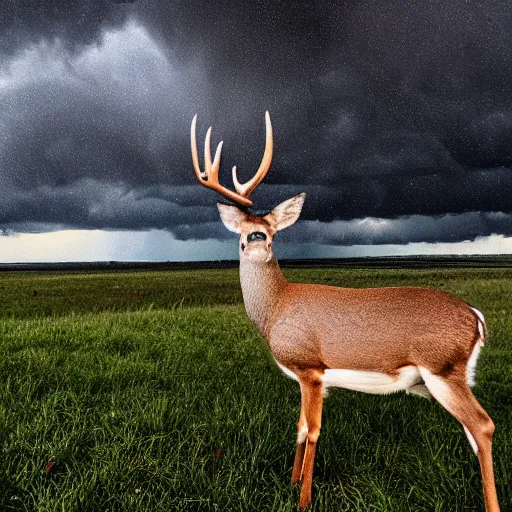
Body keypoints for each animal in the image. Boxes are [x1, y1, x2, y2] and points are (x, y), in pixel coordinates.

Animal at [190, 112, 498, 512]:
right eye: (242, 229)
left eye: (272, 228)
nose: (257, 238)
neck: (278, 306)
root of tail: (475, 316)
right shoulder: (304, 377)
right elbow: (299, 428)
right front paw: (292, 483)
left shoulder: (310, 369)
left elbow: (313, 431)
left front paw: (304, 499)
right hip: (449, 376)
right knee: (475, 432)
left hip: (442, 369)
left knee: (483, 425)